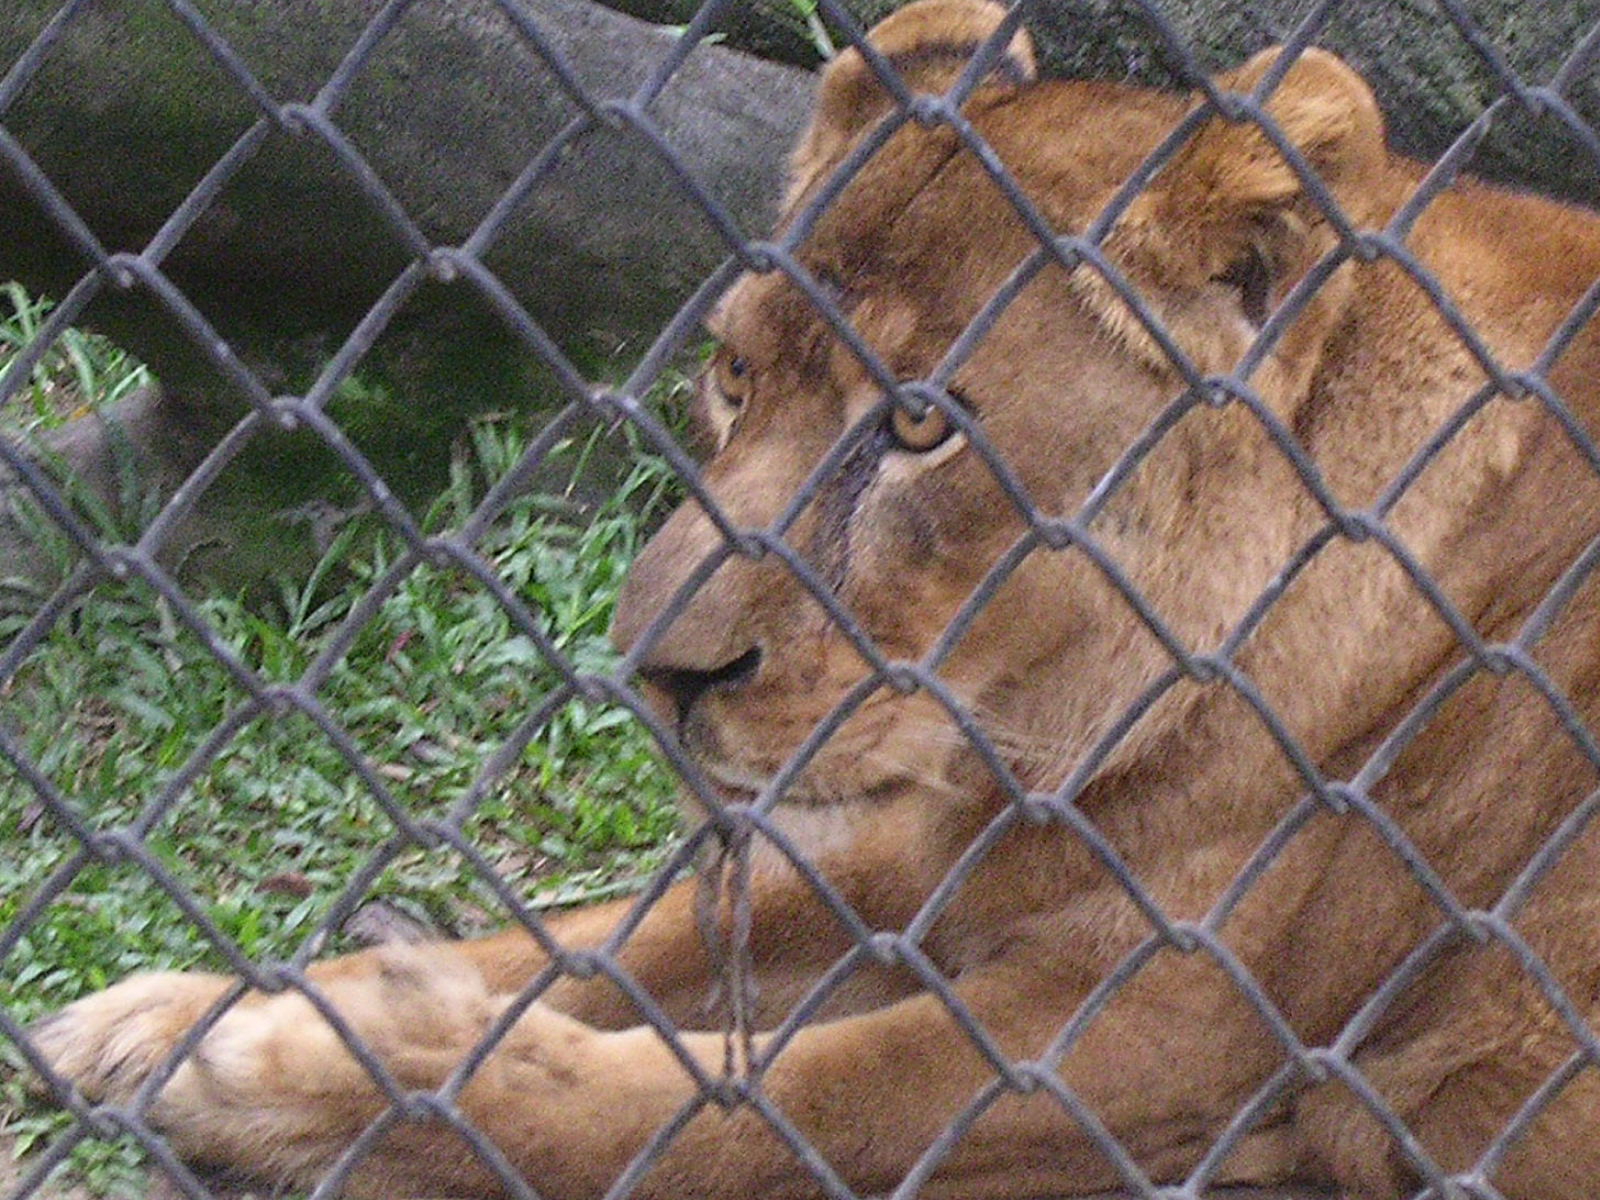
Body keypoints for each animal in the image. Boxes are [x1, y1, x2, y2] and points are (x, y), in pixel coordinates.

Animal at [22, 2, 1600, 1197]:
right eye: (735, 373)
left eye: (916, 426)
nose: (657, 671)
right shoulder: (948, 844)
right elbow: (637, 931)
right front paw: (184, 1014)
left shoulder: (1160, 1039)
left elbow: (697, 1116)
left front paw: (291, 1070)